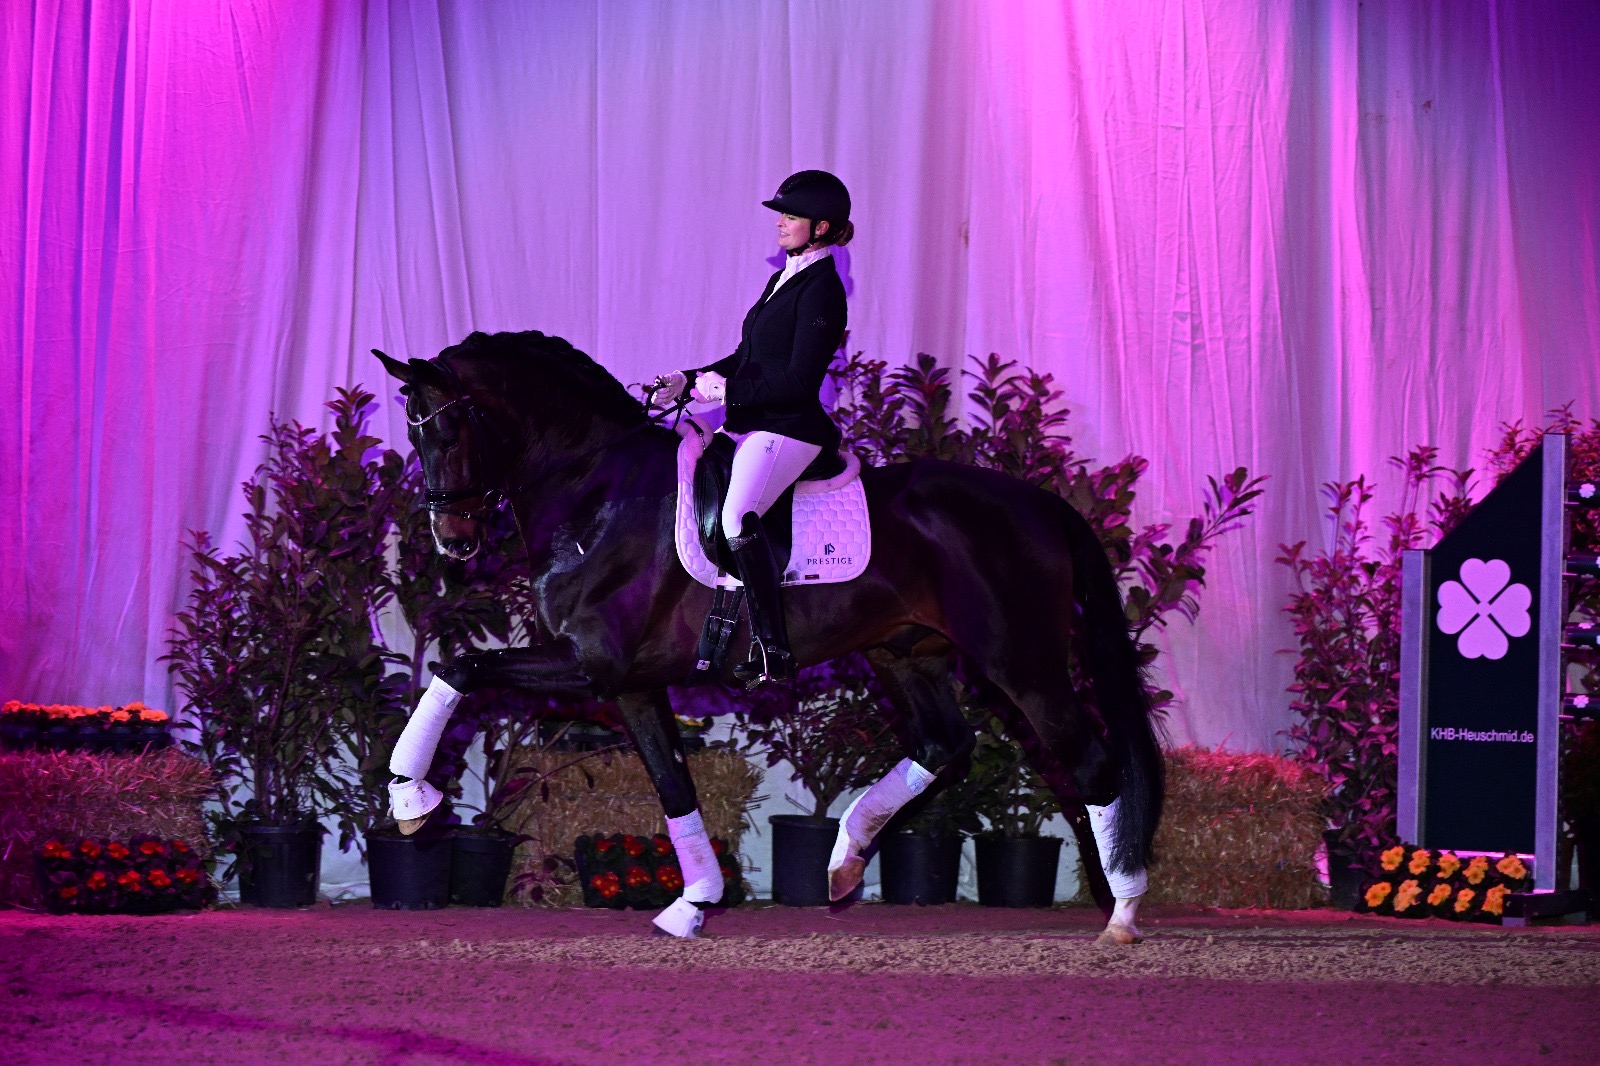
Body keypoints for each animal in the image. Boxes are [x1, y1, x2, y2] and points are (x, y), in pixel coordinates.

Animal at [380, 326, 1171, 941]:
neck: (597, 490)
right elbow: (673, 785)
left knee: (1089, 763)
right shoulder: (632, 683)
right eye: (414, 435)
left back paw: (1122, 914)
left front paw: (411, 800)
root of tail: (1038, 502)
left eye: (447, 429)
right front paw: (694, 904)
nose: (453, 541)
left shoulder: (591, 664)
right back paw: (845, 859)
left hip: (1020, 662)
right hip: (906, 654)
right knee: (944, 743)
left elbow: (458, 668)